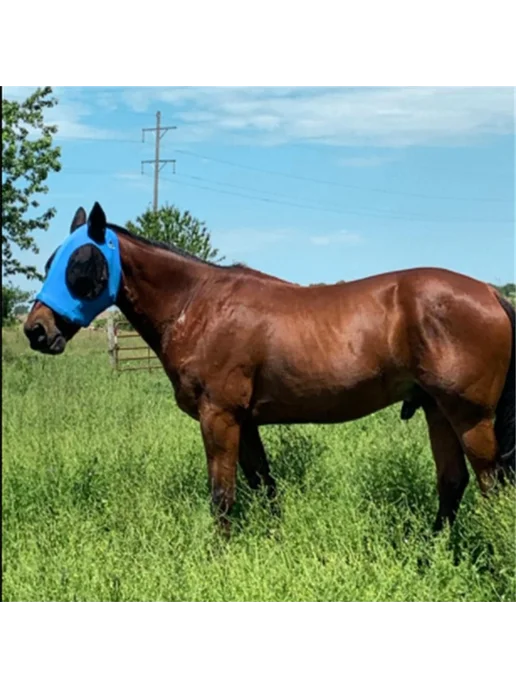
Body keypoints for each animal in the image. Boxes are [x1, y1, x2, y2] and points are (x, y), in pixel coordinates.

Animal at [24, 202, 515, 536]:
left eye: (81, 264)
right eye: (50, 263)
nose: (36, 330)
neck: (197, 305)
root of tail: (490, 293)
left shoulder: (219, 417)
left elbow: (222, 495)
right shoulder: (245, 422)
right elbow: (264, 485)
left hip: (469, 417)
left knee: (490, 485)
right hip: (437, 409)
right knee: (453, 482)